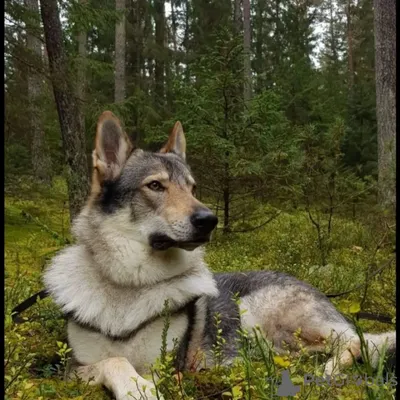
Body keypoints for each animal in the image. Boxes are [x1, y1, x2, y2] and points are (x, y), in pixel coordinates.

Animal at [44, 111, 396, 398]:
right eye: (155, 186)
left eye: (192, 188)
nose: (209, 220)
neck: (130, 285)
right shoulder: (72, 369)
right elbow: (113, 359)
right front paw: (135, 387)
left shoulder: (167, 367)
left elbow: (123, 362)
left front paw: (139, 388)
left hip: (257, 312)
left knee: (355, 342)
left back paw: (323, 371)